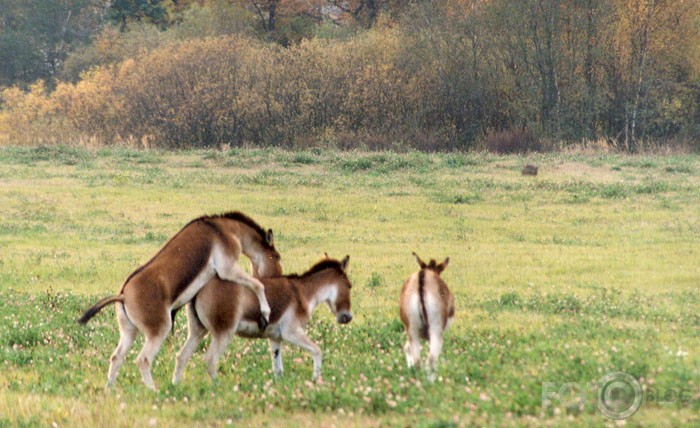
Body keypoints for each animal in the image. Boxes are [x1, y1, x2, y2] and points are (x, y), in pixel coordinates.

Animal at [77, 212, 282, 390]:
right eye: (277, 256)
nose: (279, 277)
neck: (224, 229)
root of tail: (123, 295)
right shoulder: (227, 268)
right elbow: (257, 285)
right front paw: (265, 313)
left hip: (129, 331)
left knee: (116, 357)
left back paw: (109, 389)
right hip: (159, 329)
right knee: (143, 360)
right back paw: (154, 390)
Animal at [400, 251, 454, 382]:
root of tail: (422, 276)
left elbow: (407, 349)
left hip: (412, 330)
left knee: (417, 361)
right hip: (435, 331)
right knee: (430, 360)